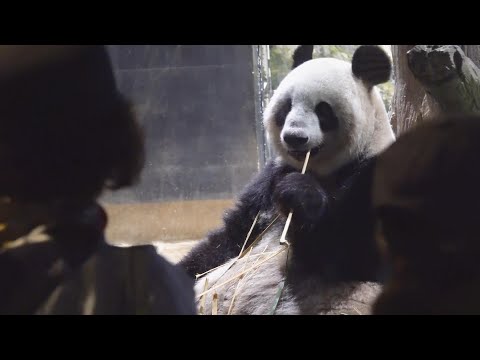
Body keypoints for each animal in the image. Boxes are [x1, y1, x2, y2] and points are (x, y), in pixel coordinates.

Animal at [178, 45, 396, 316]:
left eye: (323, 110)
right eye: (287, 106)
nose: (294, 137)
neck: (323, 171)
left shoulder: (375, 173)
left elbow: (354, 253)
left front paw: (300, 195)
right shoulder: (271, 178)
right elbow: (231, 238)